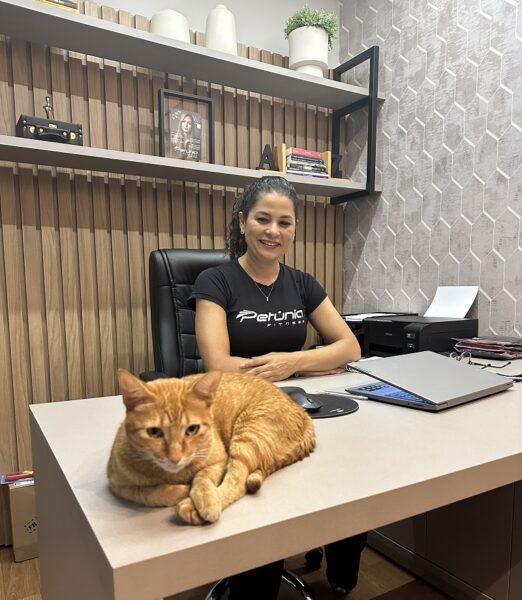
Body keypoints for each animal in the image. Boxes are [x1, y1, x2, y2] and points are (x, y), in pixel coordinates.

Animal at [107, 369, 316, 525]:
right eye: (154, 432)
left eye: (192, 429)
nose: (175, 457)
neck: (176, 474)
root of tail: (303, 413)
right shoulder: (118, 485)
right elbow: (150, 493)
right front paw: (182, 490)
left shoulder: (218, 459)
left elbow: (203, 477)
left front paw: (203, 498)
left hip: (247, 435)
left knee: (237, 482)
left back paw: (192, 507)